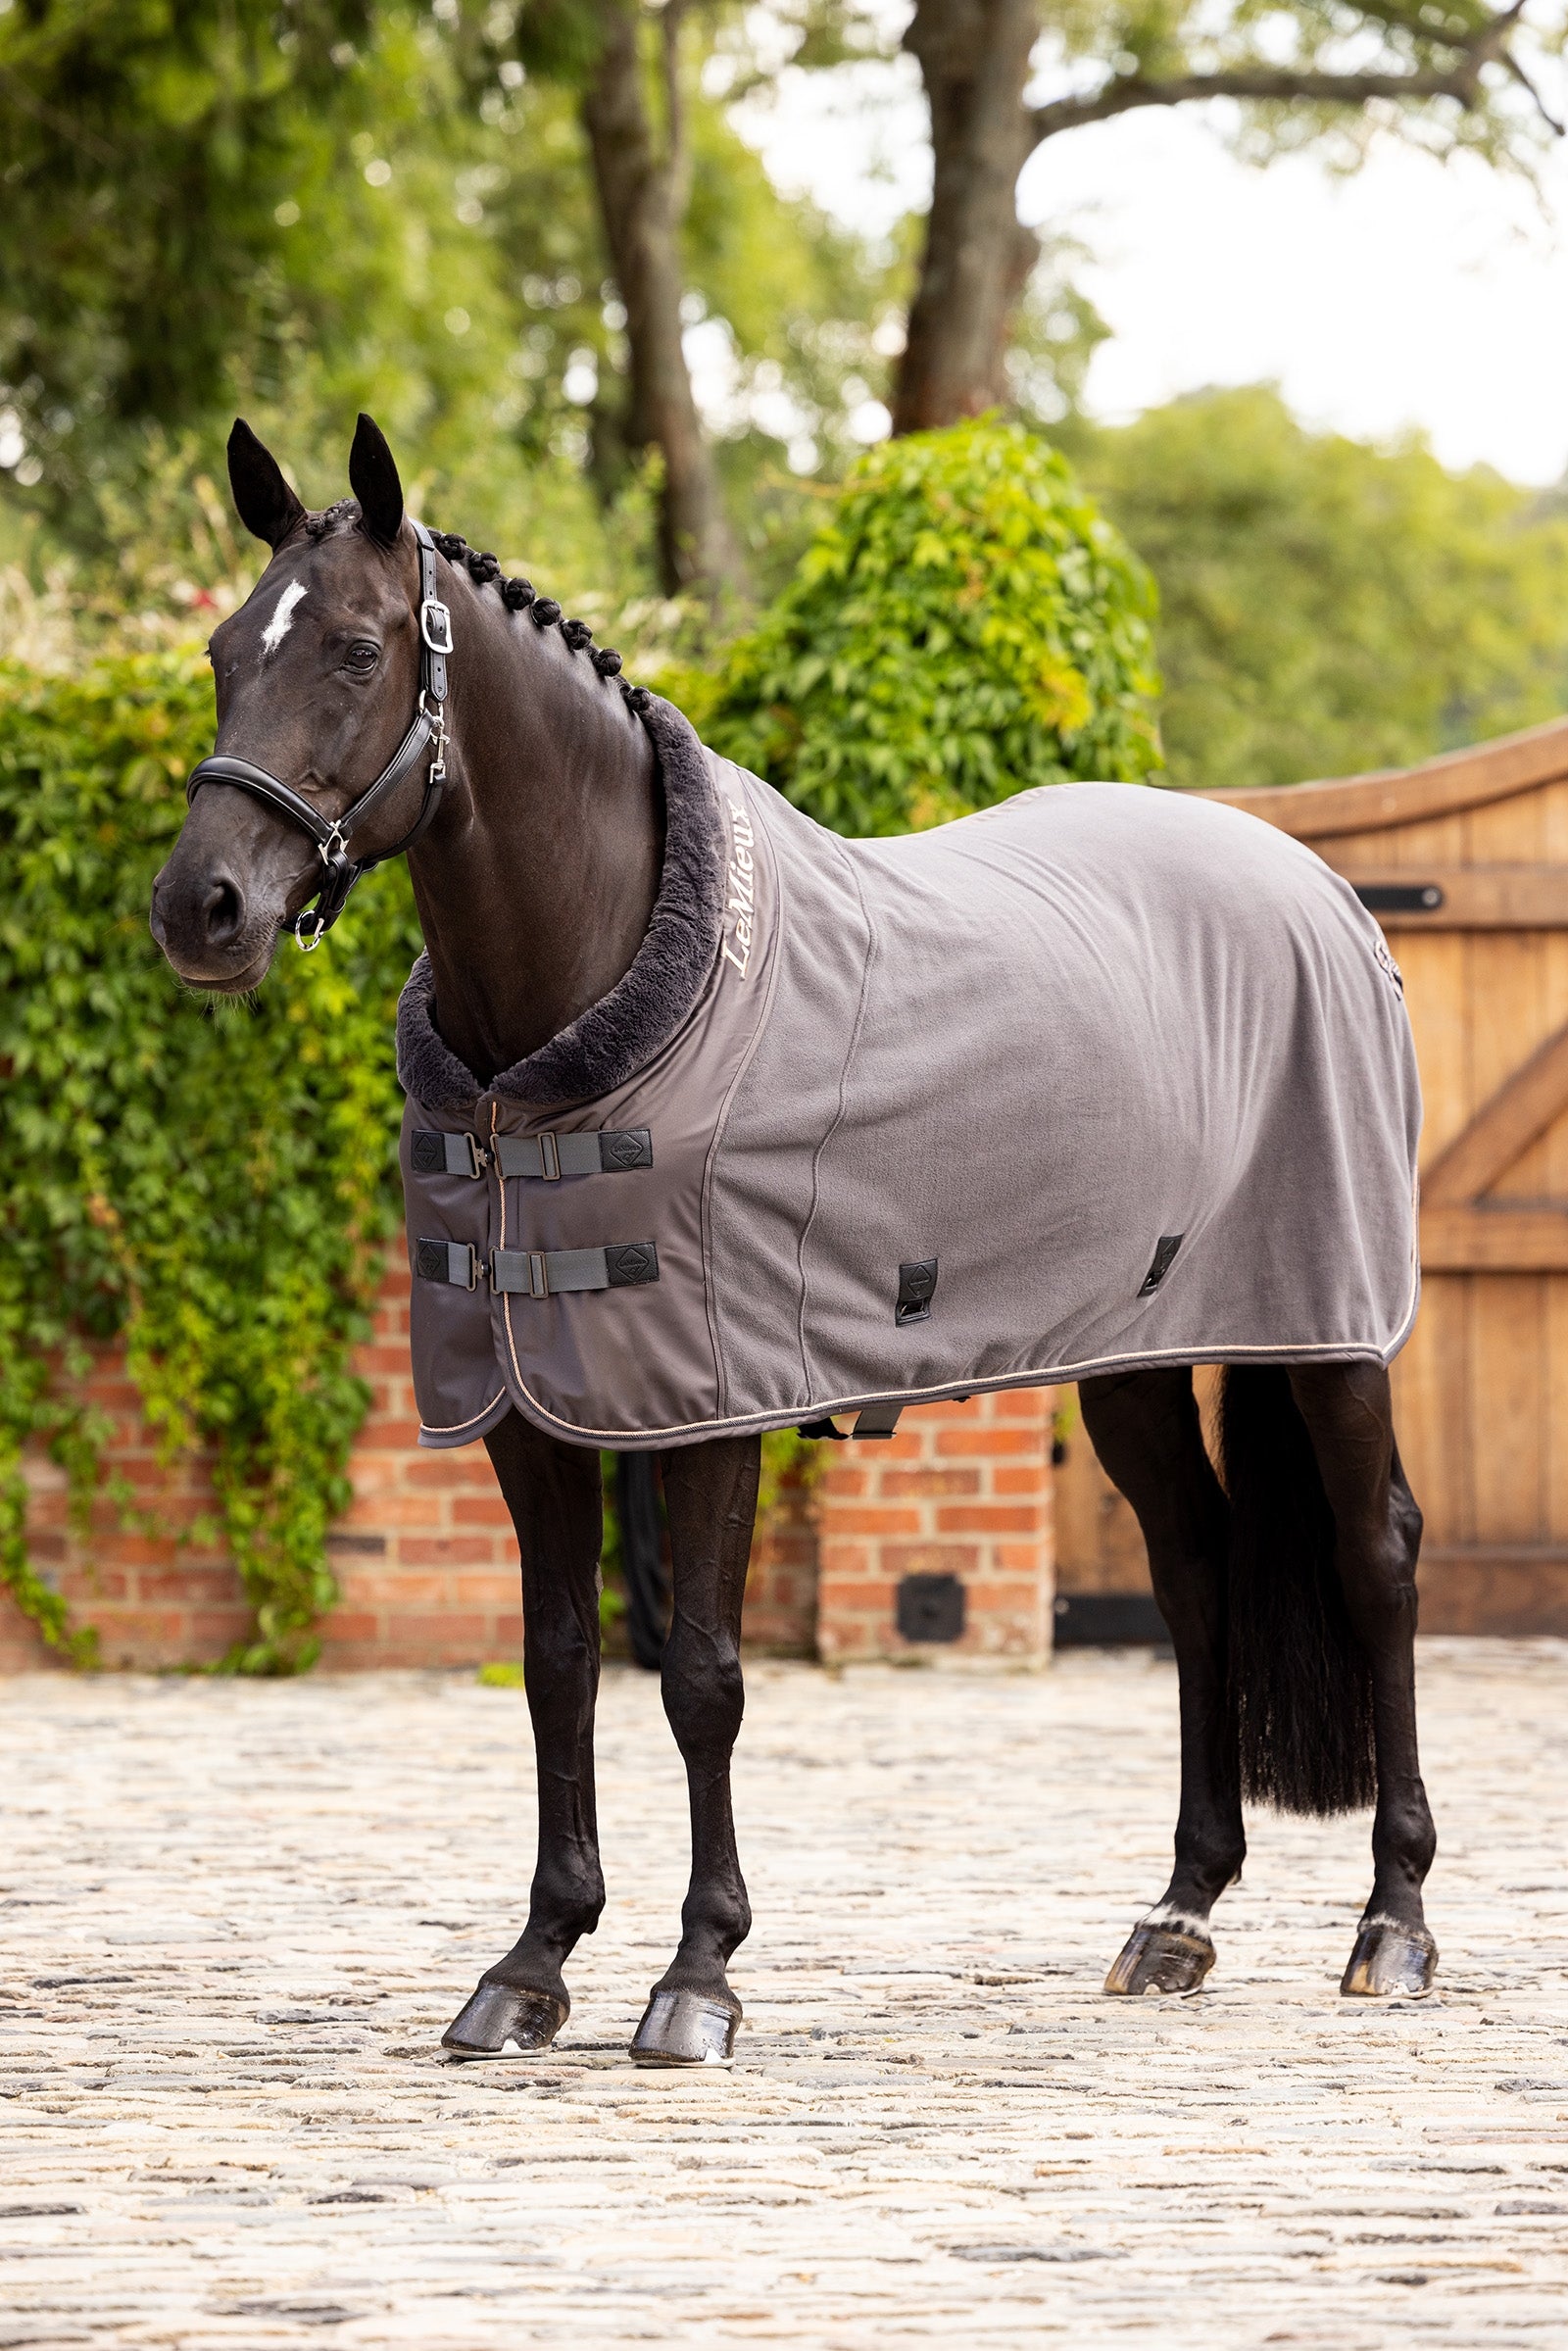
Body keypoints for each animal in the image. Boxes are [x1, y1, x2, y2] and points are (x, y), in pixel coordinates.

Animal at [150, 414, 1438, 2065]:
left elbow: (703, 1676)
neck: (586, 1005)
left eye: (360, 649)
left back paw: (1392, 1920)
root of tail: (1318, 886)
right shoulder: (526, 1402)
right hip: (1139, 1353)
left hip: (1332, 1328)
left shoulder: (713, 1403)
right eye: (220, 650)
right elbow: (559, 1661)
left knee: (1375, 1554)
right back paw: (1178, 1913)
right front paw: (533, 1959)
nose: (203, 908)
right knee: (1198, 1561)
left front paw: (698, 1972)